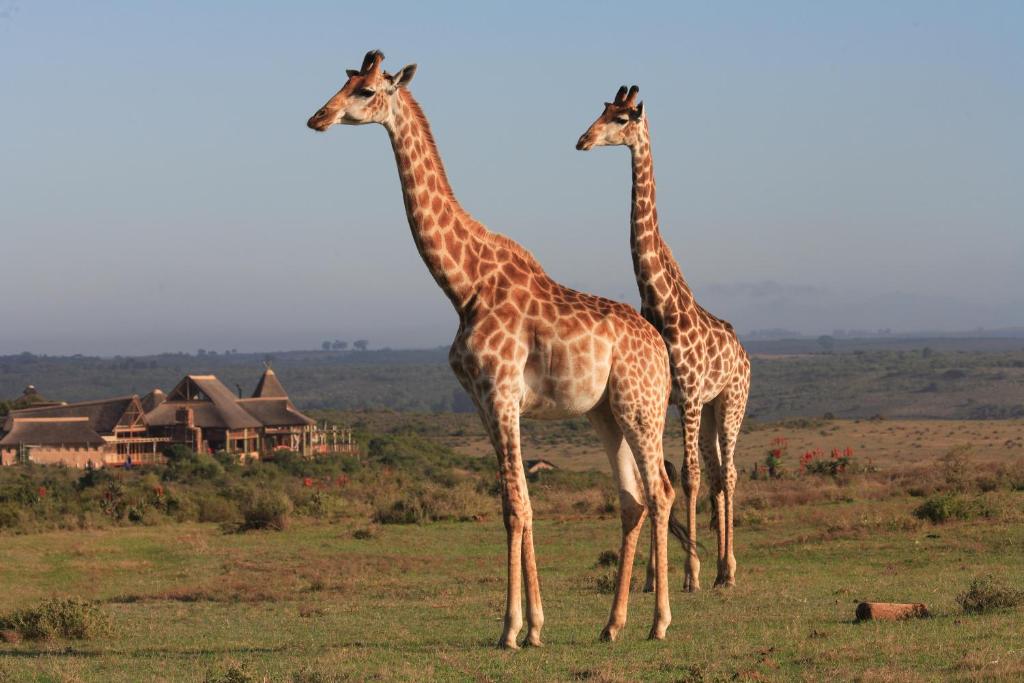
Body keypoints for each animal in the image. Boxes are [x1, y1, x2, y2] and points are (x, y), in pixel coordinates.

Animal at [307, 52, 675, 646]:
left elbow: (516, 508)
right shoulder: (484, 403)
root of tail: (660, 348)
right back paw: (612, 625)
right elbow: (515, 501)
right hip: (605, 414)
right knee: (632, 499)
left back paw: (659, 622)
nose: (318, 117)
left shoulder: (502, 395)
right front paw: (536, 627)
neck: (463, 285)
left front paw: (511, 629)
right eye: (344, 82)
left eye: (365, 91)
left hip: (641, 408)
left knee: (661, 492)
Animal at [577, 85, 752, 591]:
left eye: (623, 118)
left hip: (730, 401)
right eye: (601, 111)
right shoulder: (669, 398)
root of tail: (744, 354)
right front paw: (655, 577)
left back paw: (727, 570)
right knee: (717, 473)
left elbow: (687, 477)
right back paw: (720, 568)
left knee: (727, 473)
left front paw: (689, 574)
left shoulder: (687, 394)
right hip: (710, 409)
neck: (661, 303)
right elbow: (665, 475)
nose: (583, 140)